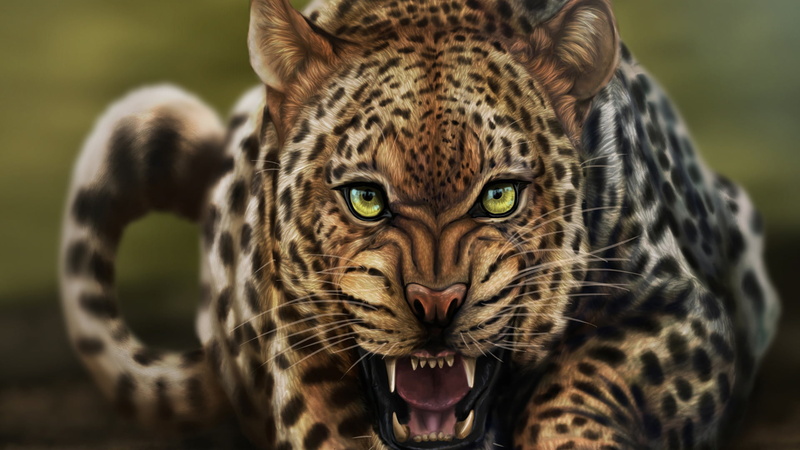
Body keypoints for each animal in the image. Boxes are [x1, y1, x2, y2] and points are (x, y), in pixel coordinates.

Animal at [59, 0, 780, 448]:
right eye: (365, 199)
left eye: (499, 197)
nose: (436, 305)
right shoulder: (295, 345)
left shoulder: (681, 311)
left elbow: (587, 384)